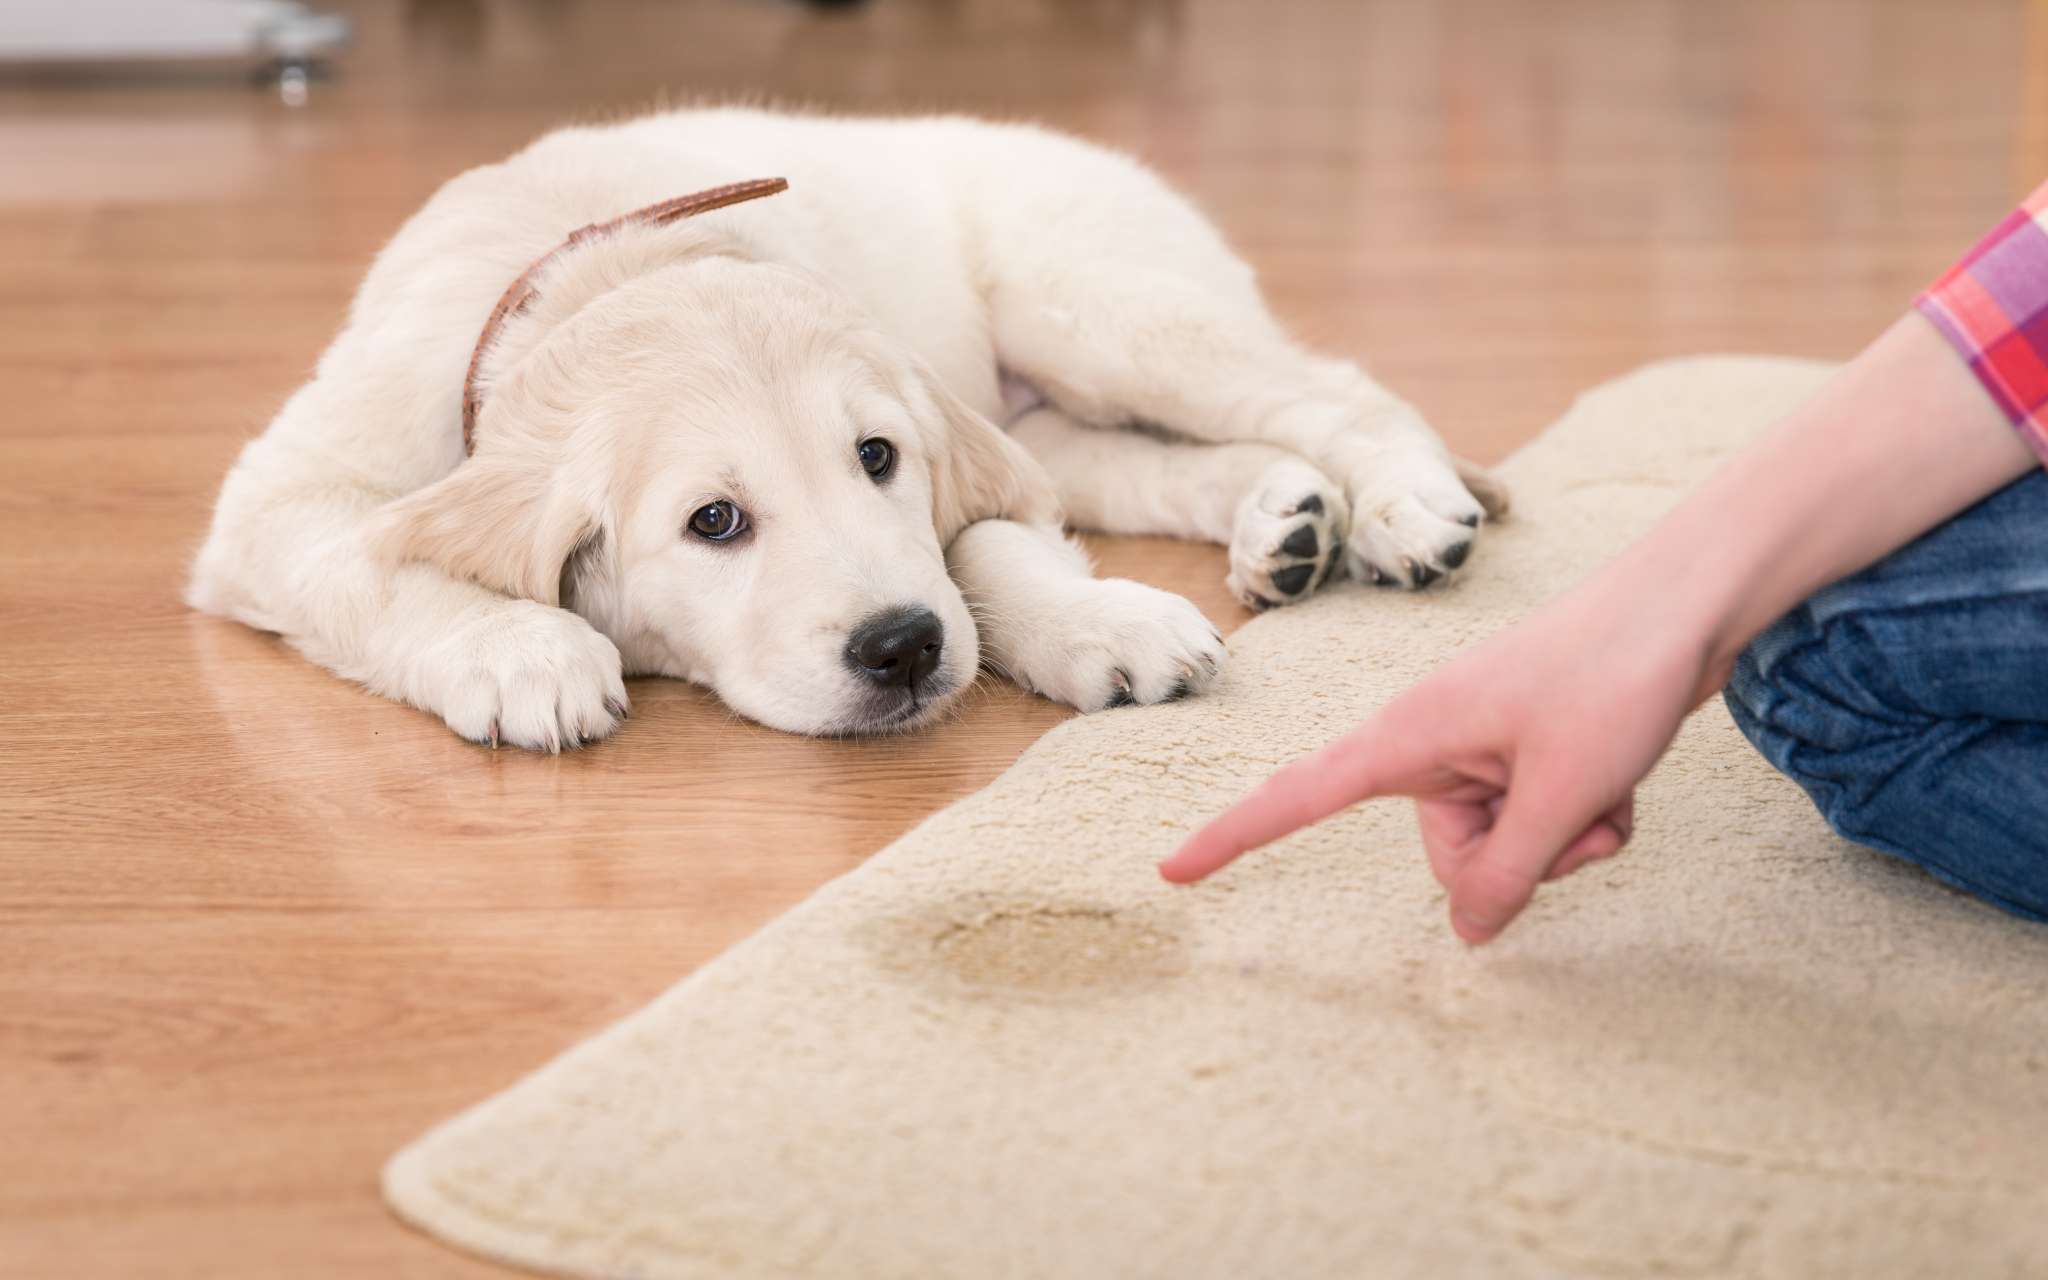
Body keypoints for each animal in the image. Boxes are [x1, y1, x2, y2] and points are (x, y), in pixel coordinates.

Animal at [192, 112, 1507, 749]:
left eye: (876, 459)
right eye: (713, 520)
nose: (903, 649)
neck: (600, 263)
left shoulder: (954, 449)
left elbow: (984, 545)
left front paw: (1097, 621)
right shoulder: (281, 500)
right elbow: (372, 564)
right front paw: (522, 651)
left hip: (1093, 304)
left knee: (1333, 390)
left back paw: (1400, 509)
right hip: (1060, 406)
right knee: (1156, 462)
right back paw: (1284, 522)